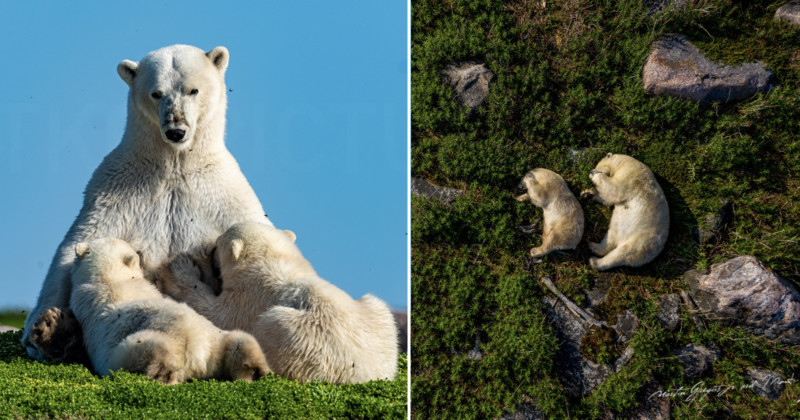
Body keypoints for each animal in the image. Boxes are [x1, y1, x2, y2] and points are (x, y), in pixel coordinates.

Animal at [22, 45, 272, 360]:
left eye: (193, 90)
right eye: (156, 92)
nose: (176, 130)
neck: (174, 165)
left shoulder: (224, 196)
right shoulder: (115, 191)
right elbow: (76, 246)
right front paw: (45, 328)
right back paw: (55, 330)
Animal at [159, 223, 400, 384]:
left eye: (217, 245)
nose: (209, 249)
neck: (273, 260)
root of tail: (363, 375)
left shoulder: (249, 297)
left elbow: (216, 314)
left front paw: (181, 267)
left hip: (300, 338)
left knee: (271, 326)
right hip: (379, 316)